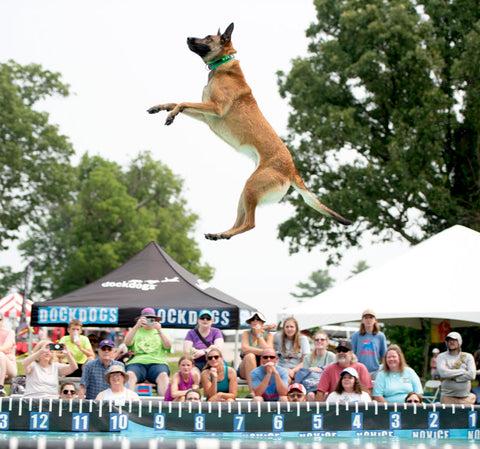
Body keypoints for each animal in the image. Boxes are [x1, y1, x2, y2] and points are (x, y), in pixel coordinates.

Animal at [148, 22, 350, 240]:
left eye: (208, 38)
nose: (188, 38)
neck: (223, 65)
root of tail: (292, 169)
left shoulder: (215, 108)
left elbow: (183, 101)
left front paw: (171, 115)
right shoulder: (205, 115)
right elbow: (177, 101)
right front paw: (161, 108)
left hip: (251, 187)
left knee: (250, 223)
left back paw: (224, 234)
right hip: (245, 192)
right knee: (239, 223)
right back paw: (220, 234)